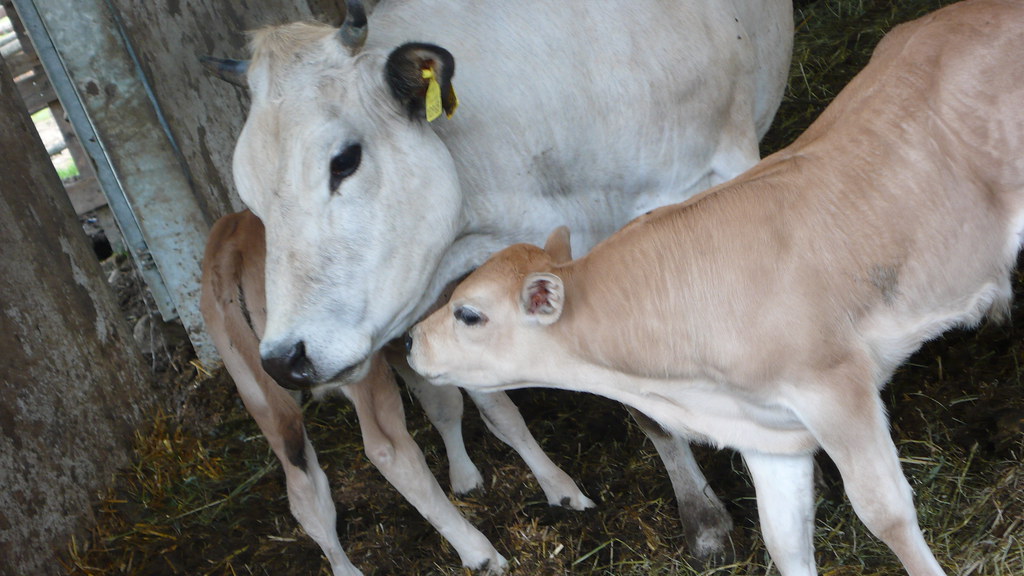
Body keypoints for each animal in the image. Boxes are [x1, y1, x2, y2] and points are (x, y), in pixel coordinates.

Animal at [407, 2, 1024, 569]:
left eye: (468, 313)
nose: (411, 341)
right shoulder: (766, 431)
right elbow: (784, 540)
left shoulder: (835, 388)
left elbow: (886, 512)